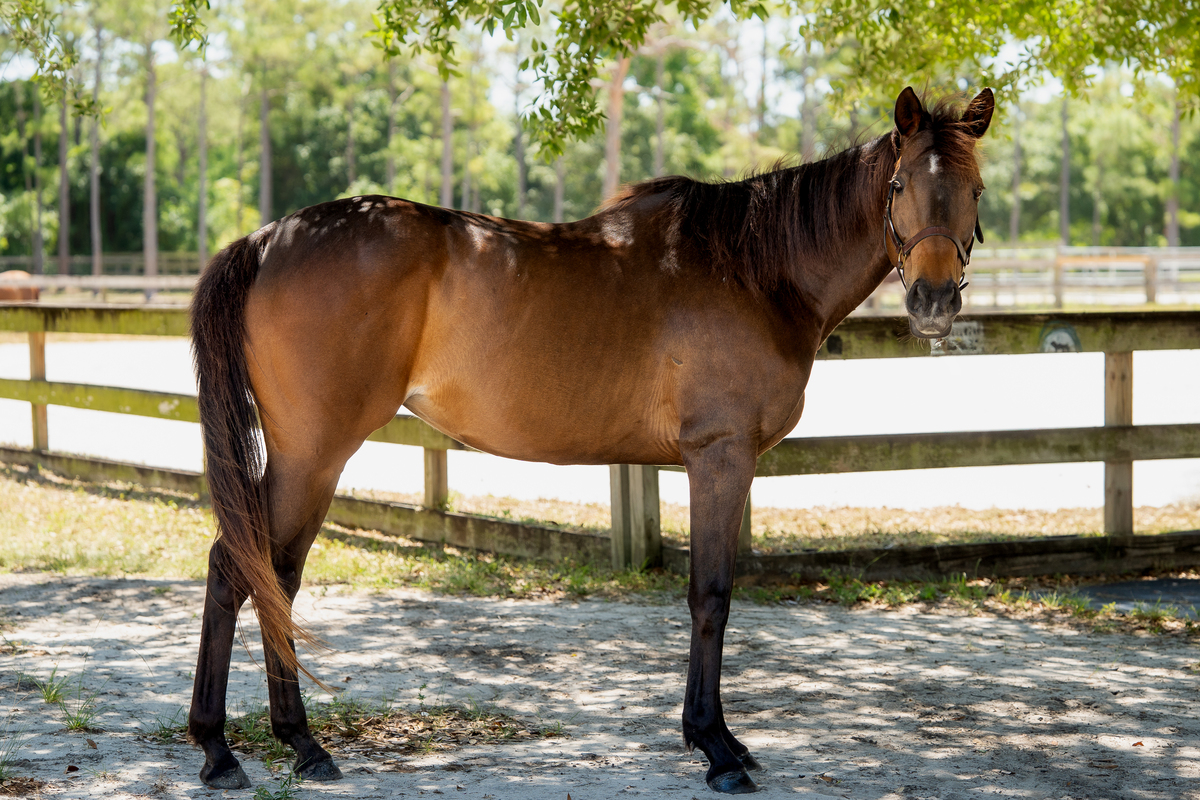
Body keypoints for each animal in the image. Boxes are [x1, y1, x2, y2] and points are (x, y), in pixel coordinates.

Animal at [187, 86, 993, 794]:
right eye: (898, 185)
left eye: (978, 190)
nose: (932, 302)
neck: (755, 270)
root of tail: (271, 237)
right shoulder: (719, 456)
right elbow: (711, 595)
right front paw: (715, 747)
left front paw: (722, 740)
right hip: (312, 455)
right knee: (242, 570)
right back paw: (229, 751)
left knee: (274, 576)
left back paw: (289, 743)